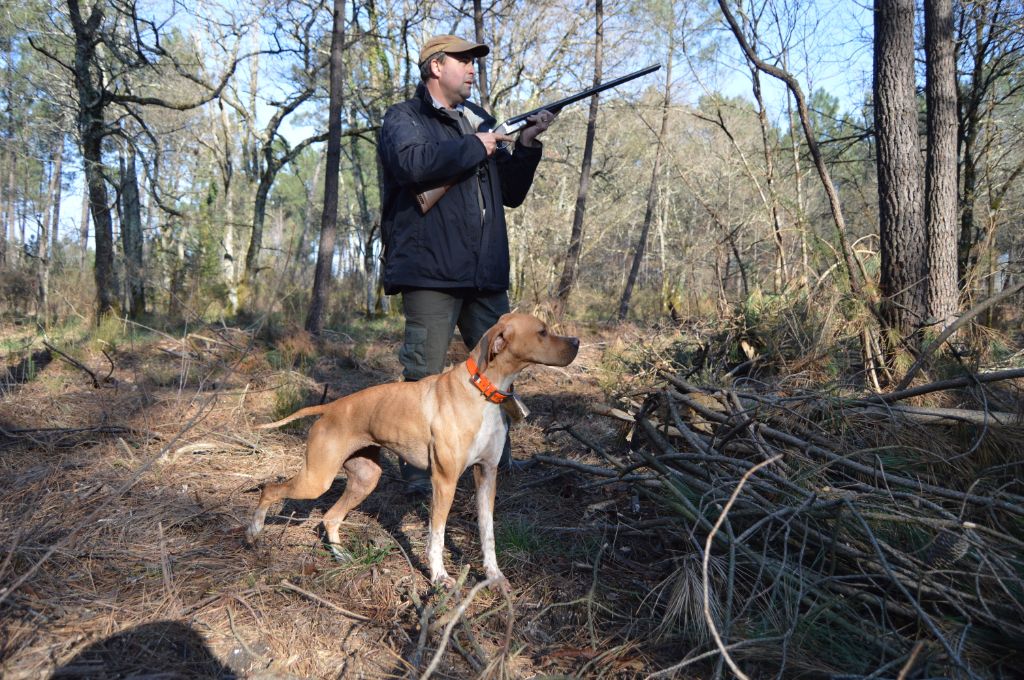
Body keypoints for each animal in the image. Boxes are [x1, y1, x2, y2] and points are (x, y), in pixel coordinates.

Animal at [246, 312, 579, 590]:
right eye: (542, 331)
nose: (576, 341)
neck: (482, 391)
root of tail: (331, 407)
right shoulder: (444, 482)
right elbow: (437, 536)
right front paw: (440, 577)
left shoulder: (486, 476)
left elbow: (488, 534)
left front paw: (494, 577)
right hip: (317, 480)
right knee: (270, 489)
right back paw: (254, 531)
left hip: (365, 479)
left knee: (329, 517)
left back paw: (341, 557)